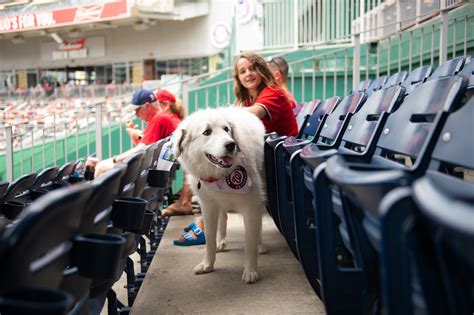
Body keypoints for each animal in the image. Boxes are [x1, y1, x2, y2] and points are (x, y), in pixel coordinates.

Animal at [173, 106, 266, 284]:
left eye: (226, 129)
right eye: (207, 132)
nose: (231, 145)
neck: (219, 175)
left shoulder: (252, 206)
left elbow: (250, 242)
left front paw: (250, 271)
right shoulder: (208, 206)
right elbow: (209, 238)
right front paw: (207, 264)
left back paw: (260, 246)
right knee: (223, 218)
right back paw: (221, 241)